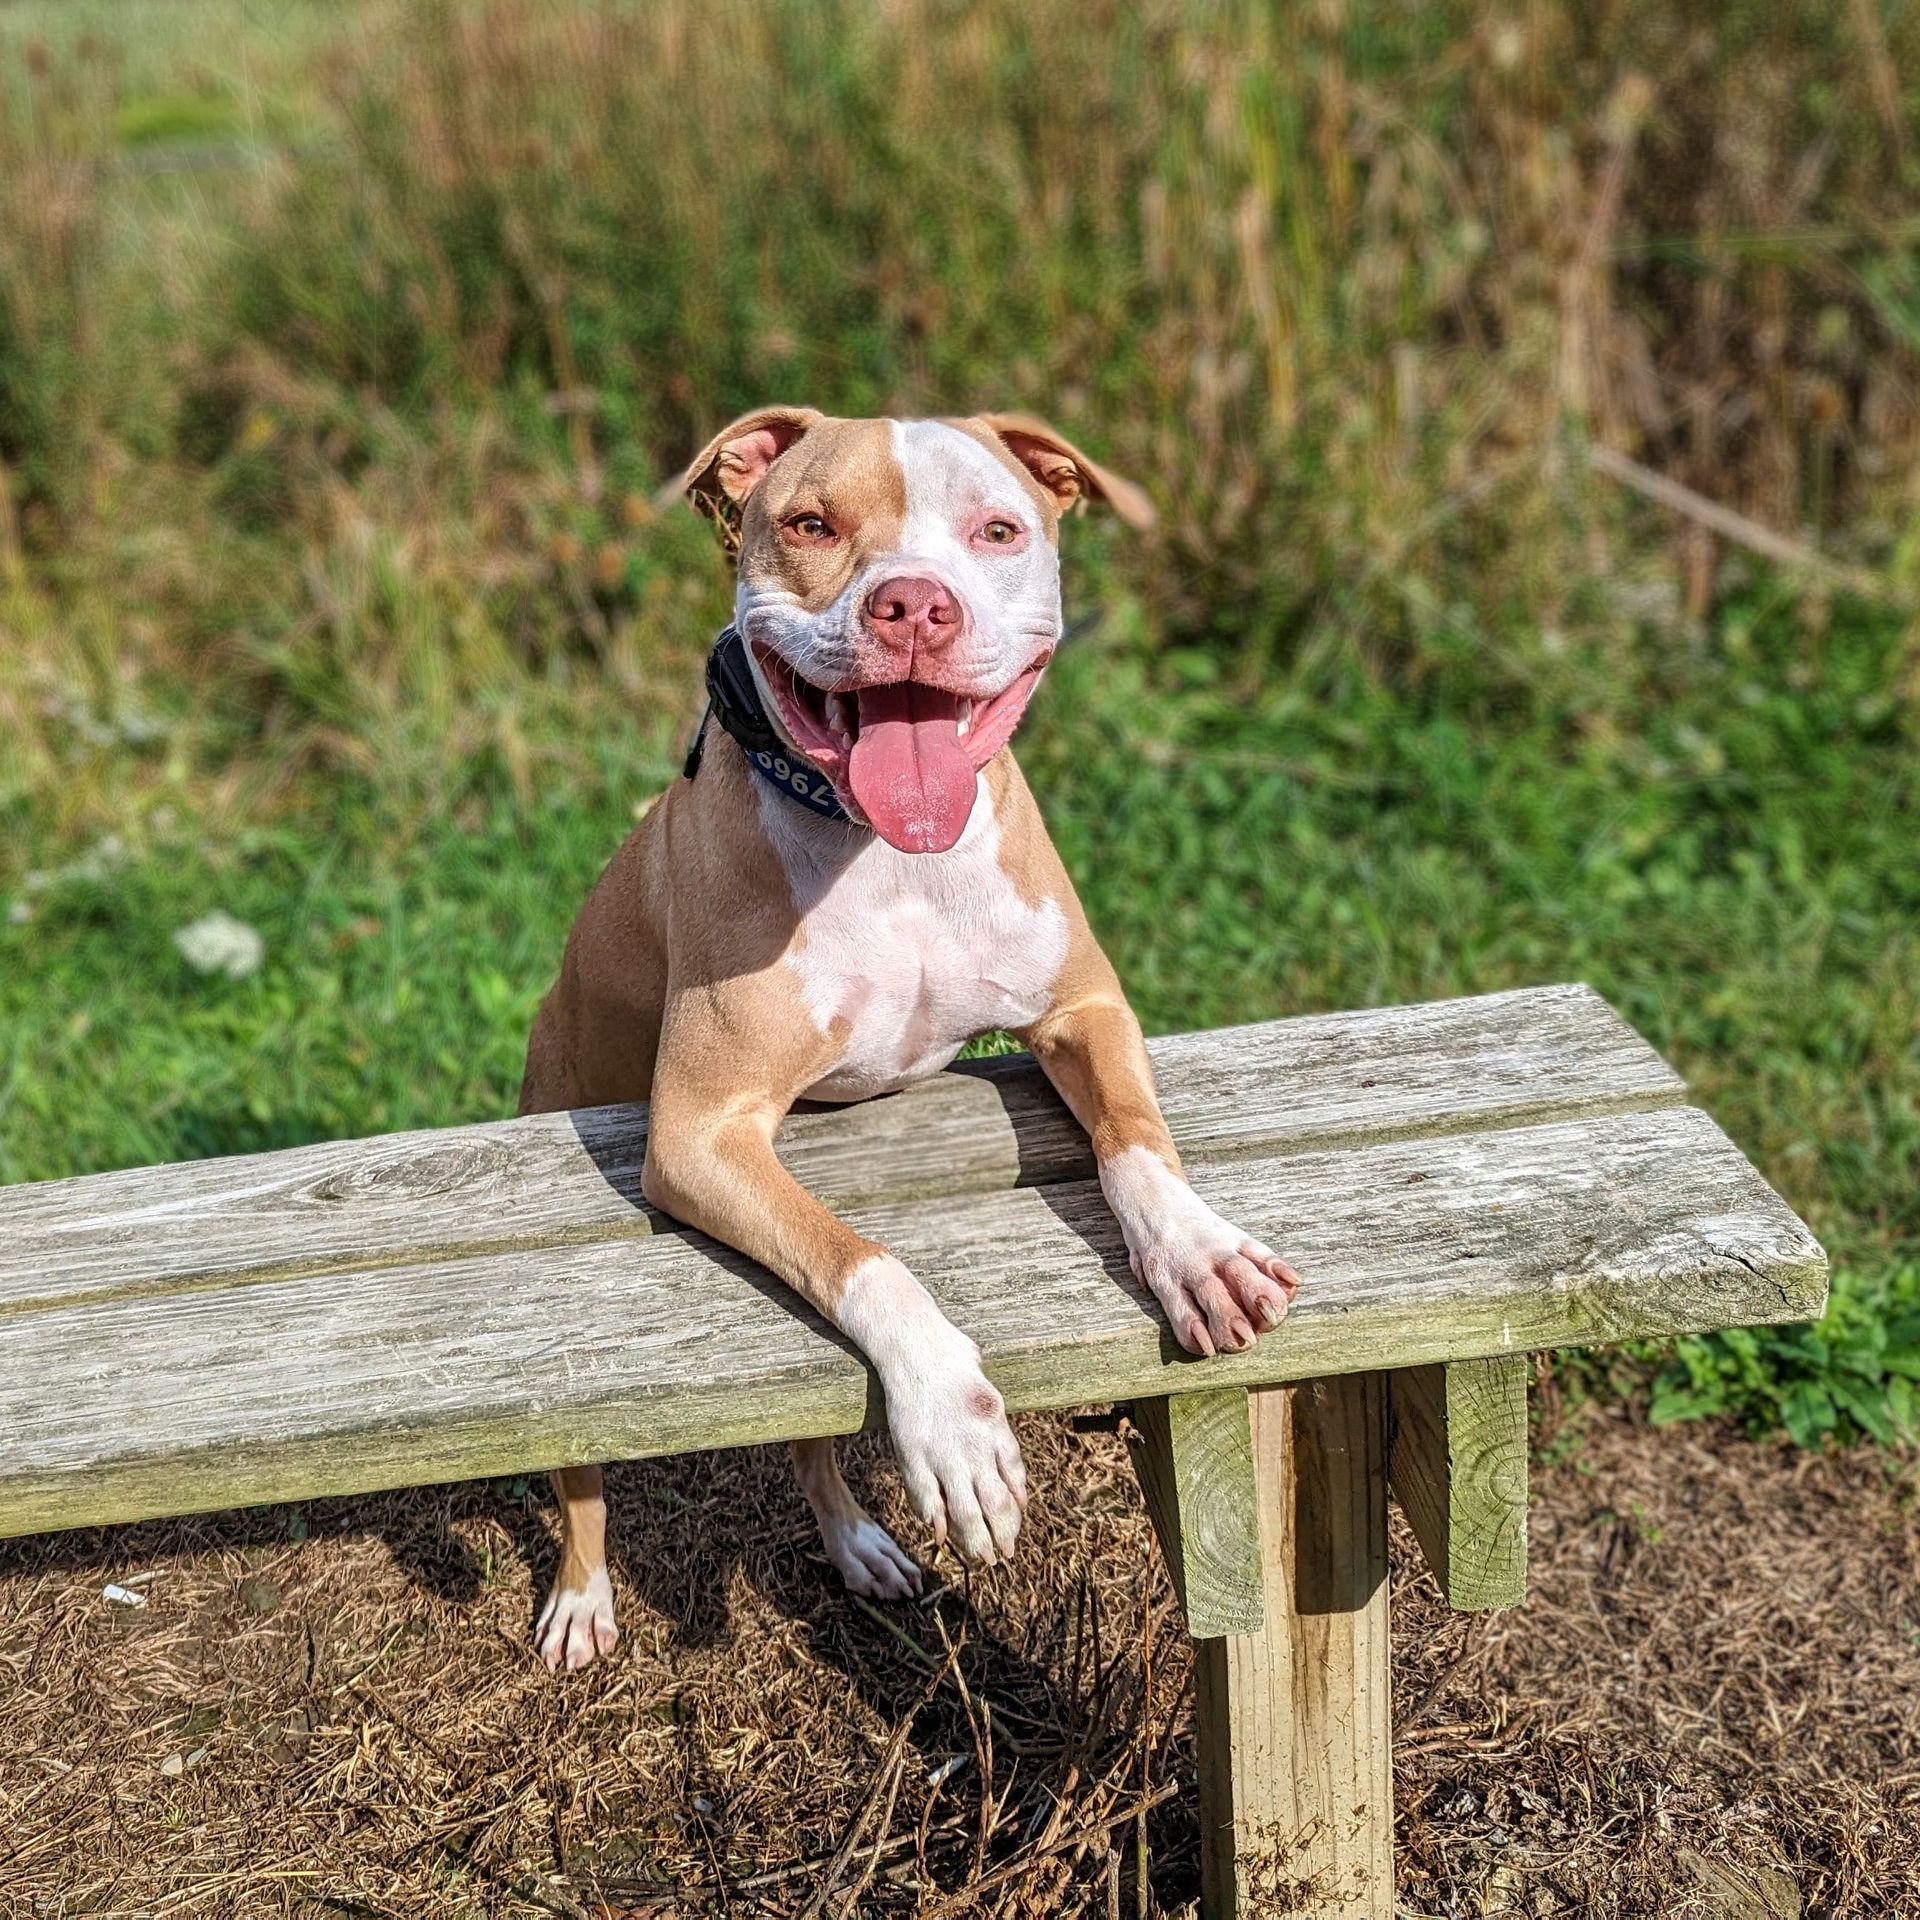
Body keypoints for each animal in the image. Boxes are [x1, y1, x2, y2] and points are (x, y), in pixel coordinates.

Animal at [518, 412, 1305, 1674]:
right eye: (809, 524)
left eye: (998, 530)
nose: (915, 606)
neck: (889, 855)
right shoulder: (699, 1133)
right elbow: (866, 1259)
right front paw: (955, 1422)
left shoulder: (1084, 1009)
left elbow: (1135, 1140)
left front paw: (1198, 1253)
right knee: (580, 1480)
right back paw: (585, 1599)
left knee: (809, 1448)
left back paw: (856, 1544)